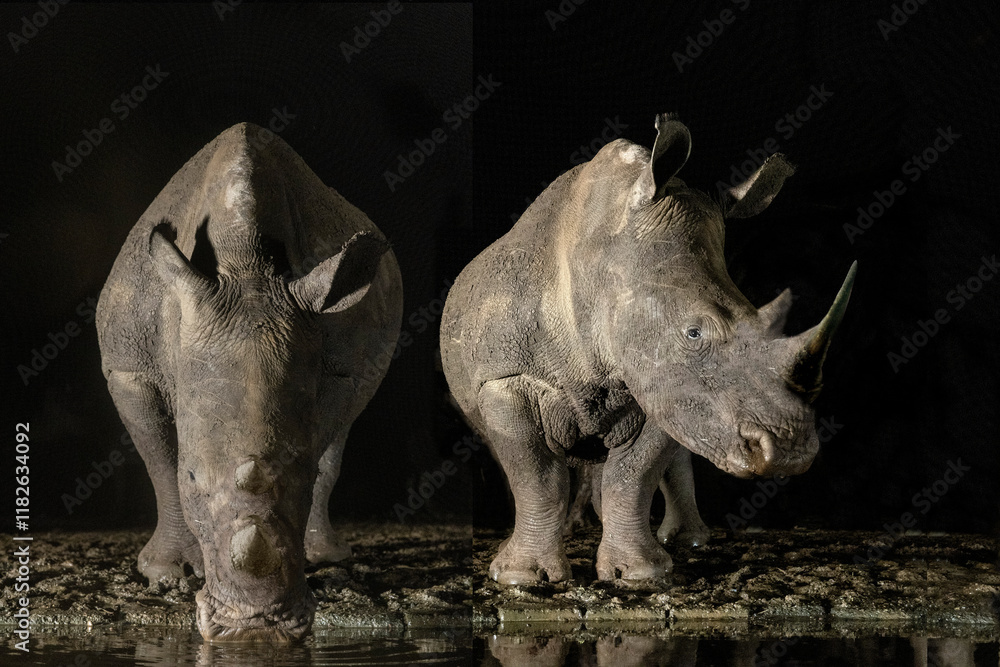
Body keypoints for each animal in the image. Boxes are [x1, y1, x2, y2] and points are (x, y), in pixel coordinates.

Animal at [96, 123, 403, 639]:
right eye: (193, 477)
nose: (255, 626)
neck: (247, 267)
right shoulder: (129, 368)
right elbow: (160, 463)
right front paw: (169, 573)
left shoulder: (340, 364)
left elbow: (320, 443)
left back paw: (327, 557)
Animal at [440, 115, 855, 584]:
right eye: (693, 333)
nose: (788, 451)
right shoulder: (504, 377)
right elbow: (536, 476)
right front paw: (522, 576)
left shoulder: (663, 384)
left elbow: (633, 475)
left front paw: (639, 573)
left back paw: (684, 541)